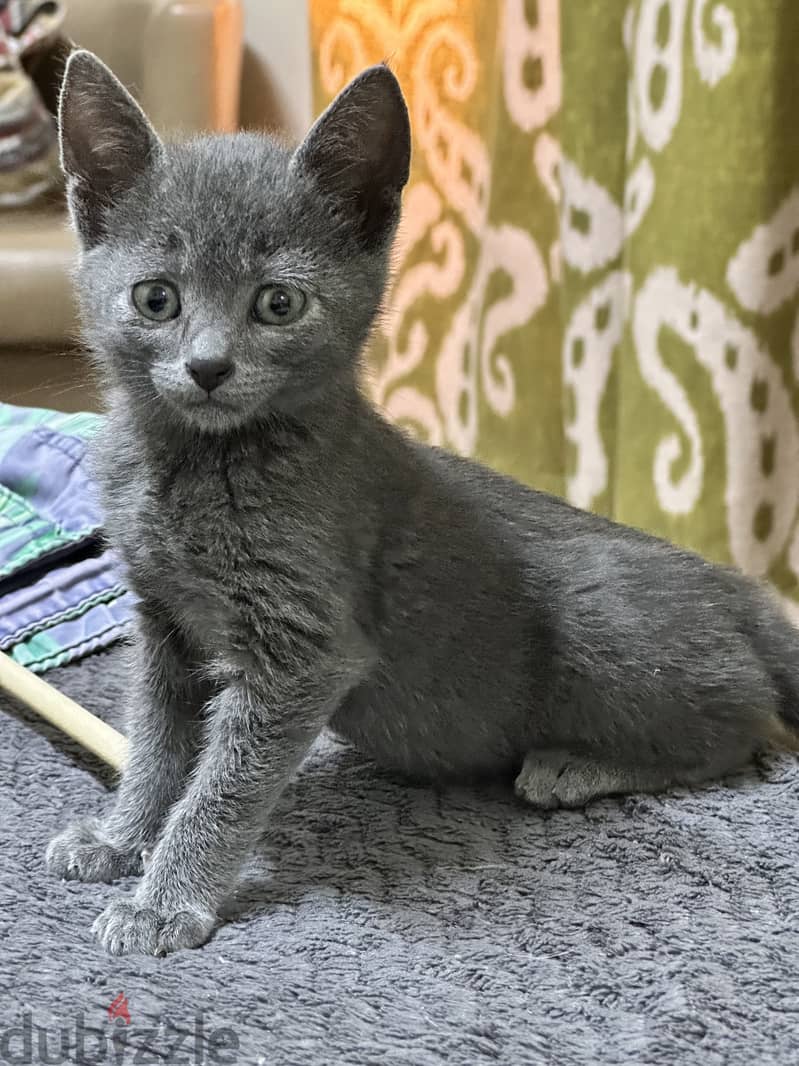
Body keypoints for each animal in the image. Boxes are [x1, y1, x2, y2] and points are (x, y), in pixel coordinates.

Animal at [46, 47, 796, 959]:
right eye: (157, 298)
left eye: (277, 302)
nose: (208, 367)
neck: (196, 466)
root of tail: (740, 590)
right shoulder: (165, 624)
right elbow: (155, 747)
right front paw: (121, 839)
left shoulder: (300, 649)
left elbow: (224, 782)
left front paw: (167, 898)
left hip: (603, 624)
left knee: (747, 728)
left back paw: (574, 764)